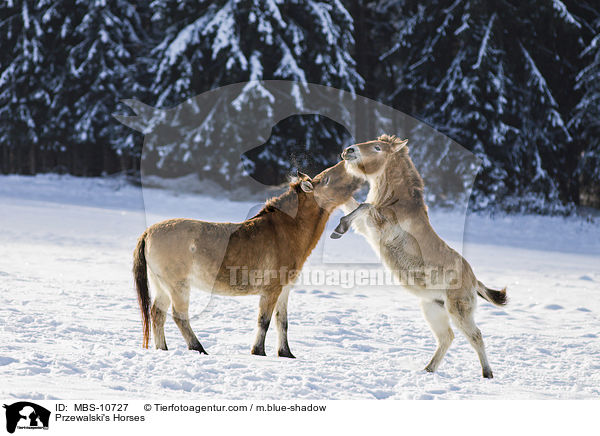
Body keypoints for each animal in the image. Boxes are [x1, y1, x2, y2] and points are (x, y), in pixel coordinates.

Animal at [134, 162, 358, 360]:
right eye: (327, 178)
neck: (285, 230)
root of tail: (148, 232)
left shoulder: (284, 290)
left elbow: (282, 322)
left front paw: (286, 353)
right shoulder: (270, 290)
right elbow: (264, 321)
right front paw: (258, 351)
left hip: (161, 286)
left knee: (157, 314)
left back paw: (163, 349)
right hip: (178, 286)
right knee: (179, 316)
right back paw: (198, 349)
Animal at [328, 135, 506, 378]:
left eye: (377, 147)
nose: (348, 151)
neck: (395, 202)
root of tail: (474, 279)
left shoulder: (380, 226)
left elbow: (364, 206)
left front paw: (339, 228)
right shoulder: (367, 229)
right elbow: (353, 204)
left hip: (458, 310)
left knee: (476, 336)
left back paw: (487, 374)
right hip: (432, 308)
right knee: (447, 337)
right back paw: (428, 369)